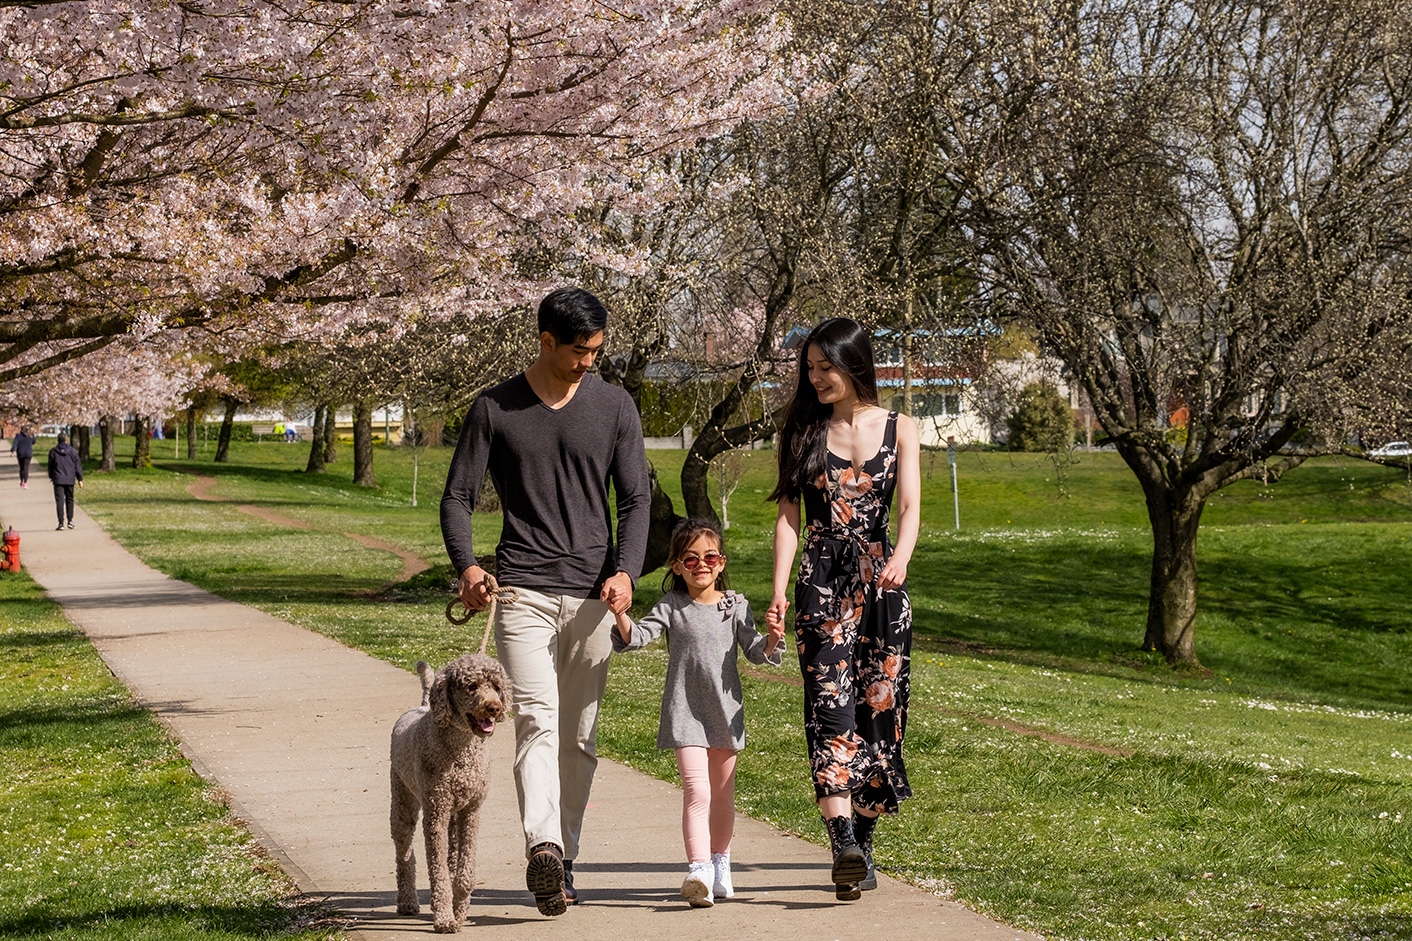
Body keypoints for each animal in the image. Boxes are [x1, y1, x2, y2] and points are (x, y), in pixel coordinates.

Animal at [392, 652, 513, 932]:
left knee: (450, 854)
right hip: (403, 799)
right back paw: (407, 901)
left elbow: (465, 872)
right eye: (472, 686)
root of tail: (422, 705)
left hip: (453, 817)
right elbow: (437, 873)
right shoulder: (435, 812)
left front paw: (460, 910)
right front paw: (445, 917)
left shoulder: (470, 812)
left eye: (497, 687)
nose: (494, 707)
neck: (461, 749)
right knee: (404, 853)